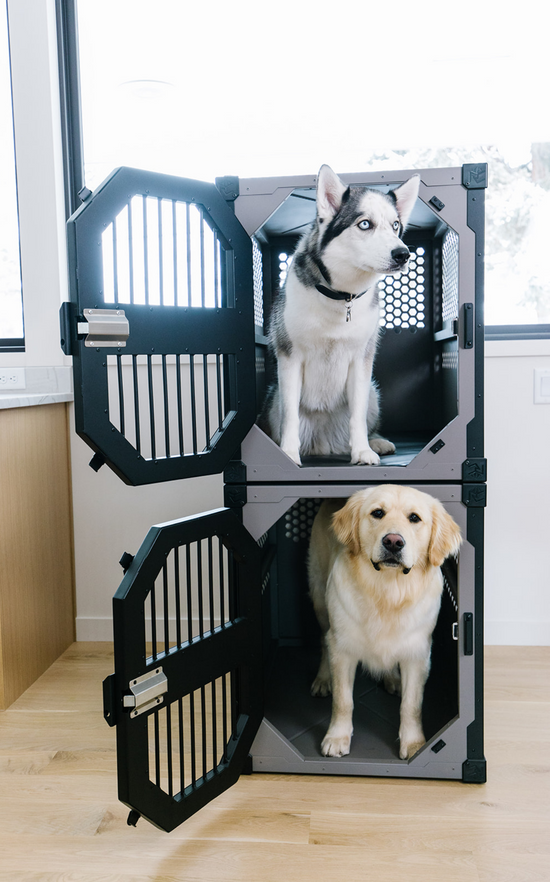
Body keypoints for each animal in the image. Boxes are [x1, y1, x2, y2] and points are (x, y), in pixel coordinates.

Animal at [264, 167, 422, 468]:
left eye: (395, 225)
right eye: (365, 224)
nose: (403, 254)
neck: (342, 296)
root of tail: (324, 444)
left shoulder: (361, 360)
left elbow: (357, 416)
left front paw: (362, 451)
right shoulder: (289, 358)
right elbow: (290, 415)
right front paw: (288, 454)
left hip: (373, 392)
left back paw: (376, 441)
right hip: (273, 399)